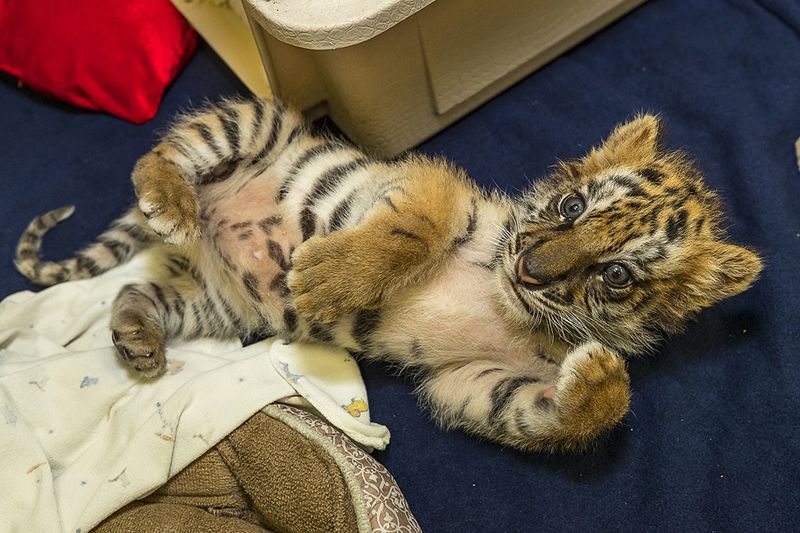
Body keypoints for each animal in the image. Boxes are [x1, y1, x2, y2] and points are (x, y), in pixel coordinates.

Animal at [13, 98, 762, 452]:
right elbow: (411, 230)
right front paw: (327, 278)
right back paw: (169, 201)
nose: (529, 268)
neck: (510, 303)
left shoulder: (468, 379)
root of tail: (202, 230)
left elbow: (544, 411)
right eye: (572, 206)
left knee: (133, 287)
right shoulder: (437, 190)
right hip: (250, 124)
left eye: (616, 276)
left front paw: (603, 377)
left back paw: (139, 339)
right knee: (154, 154)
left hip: (222, 307)